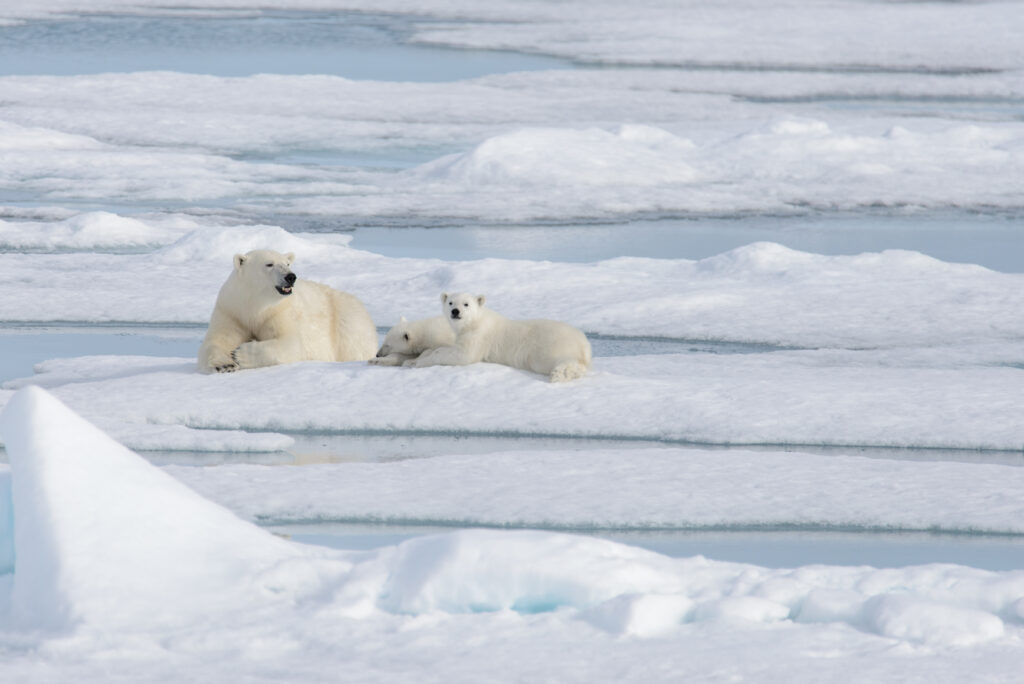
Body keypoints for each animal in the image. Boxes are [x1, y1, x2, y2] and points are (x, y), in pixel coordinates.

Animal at [197, 249, 378, 373]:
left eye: (287, 263)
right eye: (269, 264)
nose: (291, 276)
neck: (254, 306)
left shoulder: (279, 311)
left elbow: (291, 343)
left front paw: (240, 353)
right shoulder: (232, 311)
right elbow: (217, 340)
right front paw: (225, 364)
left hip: (347, 319)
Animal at [412, 292, 591, 382]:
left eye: (466, 304)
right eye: (450, 302)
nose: (455, 311)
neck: (475, 321)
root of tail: (584, 342)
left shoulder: (478, 335)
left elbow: (462, 355)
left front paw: (419, 362)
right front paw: (422, 356)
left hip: (550, 345)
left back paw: (559, 374)